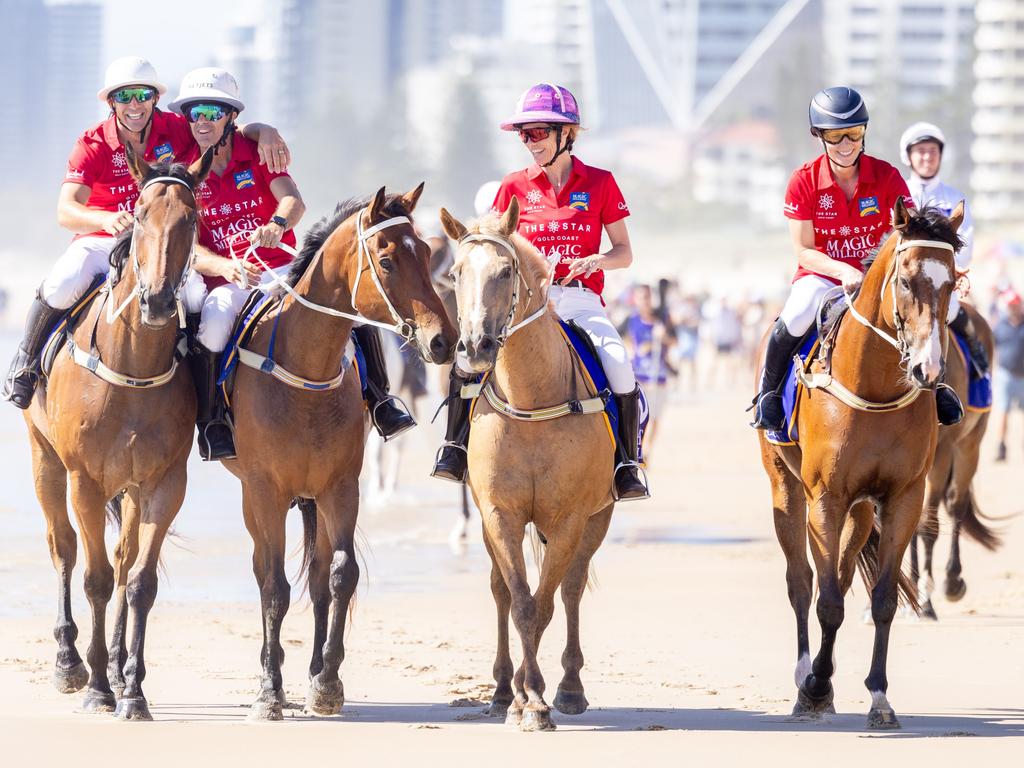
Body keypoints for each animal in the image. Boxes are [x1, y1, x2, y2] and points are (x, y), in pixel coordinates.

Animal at [24, 145, 211, 720]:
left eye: (190, 218)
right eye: (141, 215)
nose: (157, 301)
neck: (131, 364)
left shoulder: (163, 482)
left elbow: (139, 581)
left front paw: (131, 688)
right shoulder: (84, 479)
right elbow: (96, 578)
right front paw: (99, 688)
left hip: (127, 488)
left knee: (125, 560)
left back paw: (118, 660)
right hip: (45, 460)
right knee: (62, 546)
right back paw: (69, 660)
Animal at [221, 185, 456, 720]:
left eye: (427, 252)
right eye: (386, 261)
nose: (443, 340)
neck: (305, 369)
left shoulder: (340, 486)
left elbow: (340, 574)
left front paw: (327, 680)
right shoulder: (264, 491)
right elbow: (273, 586)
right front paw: (270, 689)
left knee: (317, 573)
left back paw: (311, 671)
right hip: (256, 498)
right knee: (268, 572)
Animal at [440, 201, 614, 737]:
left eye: (504, 271)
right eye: (455, 273)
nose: (475, 348)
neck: (531, 397)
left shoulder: (570, 519)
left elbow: (545, 603)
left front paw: (536, 696)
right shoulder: (500, 515)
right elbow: (519, 602)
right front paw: (522, 698)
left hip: (597, 518)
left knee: (572, 587)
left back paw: (570, 687)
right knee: (501, 591)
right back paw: (502, 689)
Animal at [761, 199, 966, 733]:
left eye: (953, 282)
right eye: (906, 281)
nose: (929, 370)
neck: (874, 385)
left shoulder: (902, 498)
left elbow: (882, 598)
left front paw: (878, 696)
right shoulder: (824, 499)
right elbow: (827, 601)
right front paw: (814, 688)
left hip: (859, 511)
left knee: (845, 573)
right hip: (787, 490)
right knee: (802, 583)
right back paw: (806, 675)